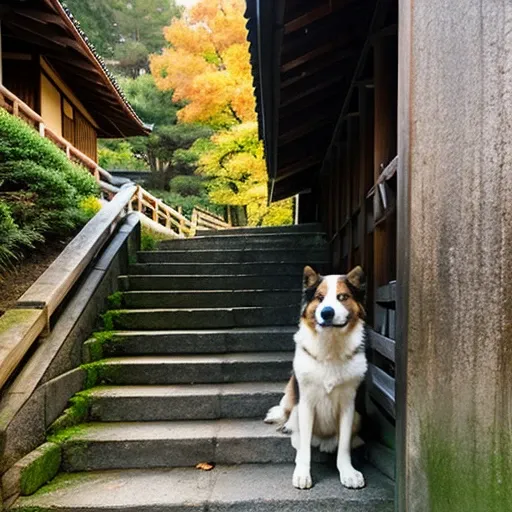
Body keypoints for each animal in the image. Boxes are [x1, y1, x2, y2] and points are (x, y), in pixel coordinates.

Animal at [264, 266, 368, 490]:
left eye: (342, 297)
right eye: (319, 298)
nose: (326, 312)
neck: (330, 348)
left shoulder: (349, 405)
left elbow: (344, 445)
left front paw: (348, 472)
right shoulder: (305, 403)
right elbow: (303, 447)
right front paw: (302, 473)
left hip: (358, 417)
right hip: (291, 392)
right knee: (287, 411)